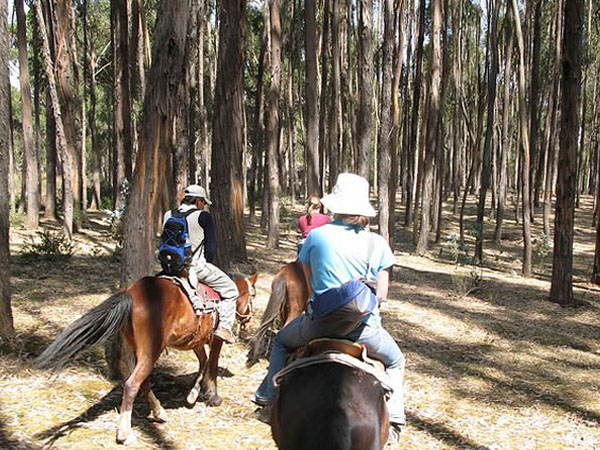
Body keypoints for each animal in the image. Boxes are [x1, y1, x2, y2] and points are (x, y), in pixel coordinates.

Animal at [34, 272, 256, 444]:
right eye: (253, 295)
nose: (247, 322)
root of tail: (131, 294)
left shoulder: (196, 341)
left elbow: (203, 362)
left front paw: (193, 394)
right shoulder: (216, 339)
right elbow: (212, 364)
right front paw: (212, 395)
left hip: (135, 349)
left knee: (143, 381)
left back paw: (158, 412)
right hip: (151, 350)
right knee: (133, 383)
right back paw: (125, 433)